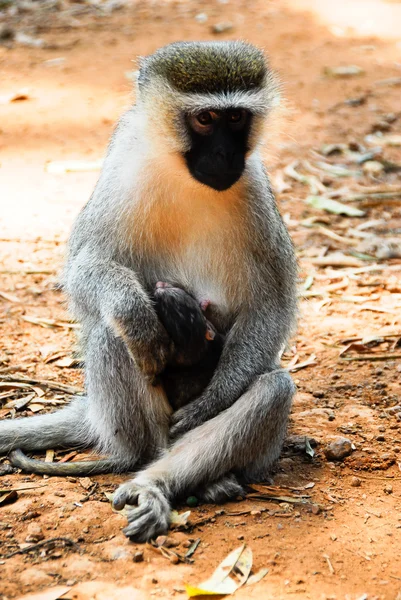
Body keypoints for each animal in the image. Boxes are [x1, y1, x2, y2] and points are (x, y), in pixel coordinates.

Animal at [0, 39, 296, 540]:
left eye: (236, 118)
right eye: (205, 119)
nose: (225, 157)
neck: (183, 175)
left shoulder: (255, 187)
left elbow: (273, 303)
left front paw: (212, 402)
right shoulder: (122, 168)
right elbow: (84, 265)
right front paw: (134, 312)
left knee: (273, 387)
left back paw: (165, 484)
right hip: (129, 422)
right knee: (112, 335)